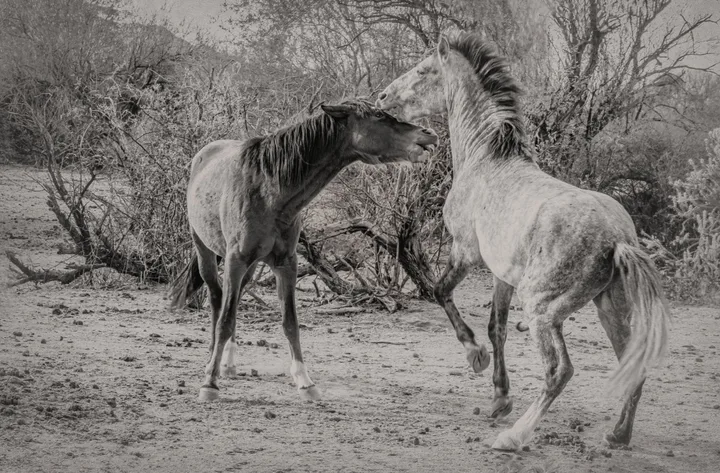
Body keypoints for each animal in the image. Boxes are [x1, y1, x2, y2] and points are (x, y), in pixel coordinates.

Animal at [168, 100, 438, 402]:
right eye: (379, 115)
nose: (428, 133)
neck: (269, 191)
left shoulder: (286, 263)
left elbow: (290, 322)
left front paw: (305, 381)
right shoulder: (236, 260)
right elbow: (226, 319)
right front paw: (210, 384)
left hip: (249, 267)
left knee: (232, 300)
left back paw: (227, 363)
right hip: (206, 251)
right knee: (217, 300)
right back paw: (211, 362)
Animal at [376, 31, 669, 451]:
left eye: (423, 70)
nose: (383, 96)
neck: (486, 159)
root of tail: (617, 239)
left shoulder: (465, 252)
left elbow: (440, 292)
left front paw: (476, 357)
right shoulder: (502, 275)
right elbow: (496, 328)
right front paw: (500, 397)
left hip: (542, 310)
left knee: (559, 371)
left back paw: (513, 437)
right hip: (609, 307)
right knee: (633, 364)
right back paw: (617, 435)